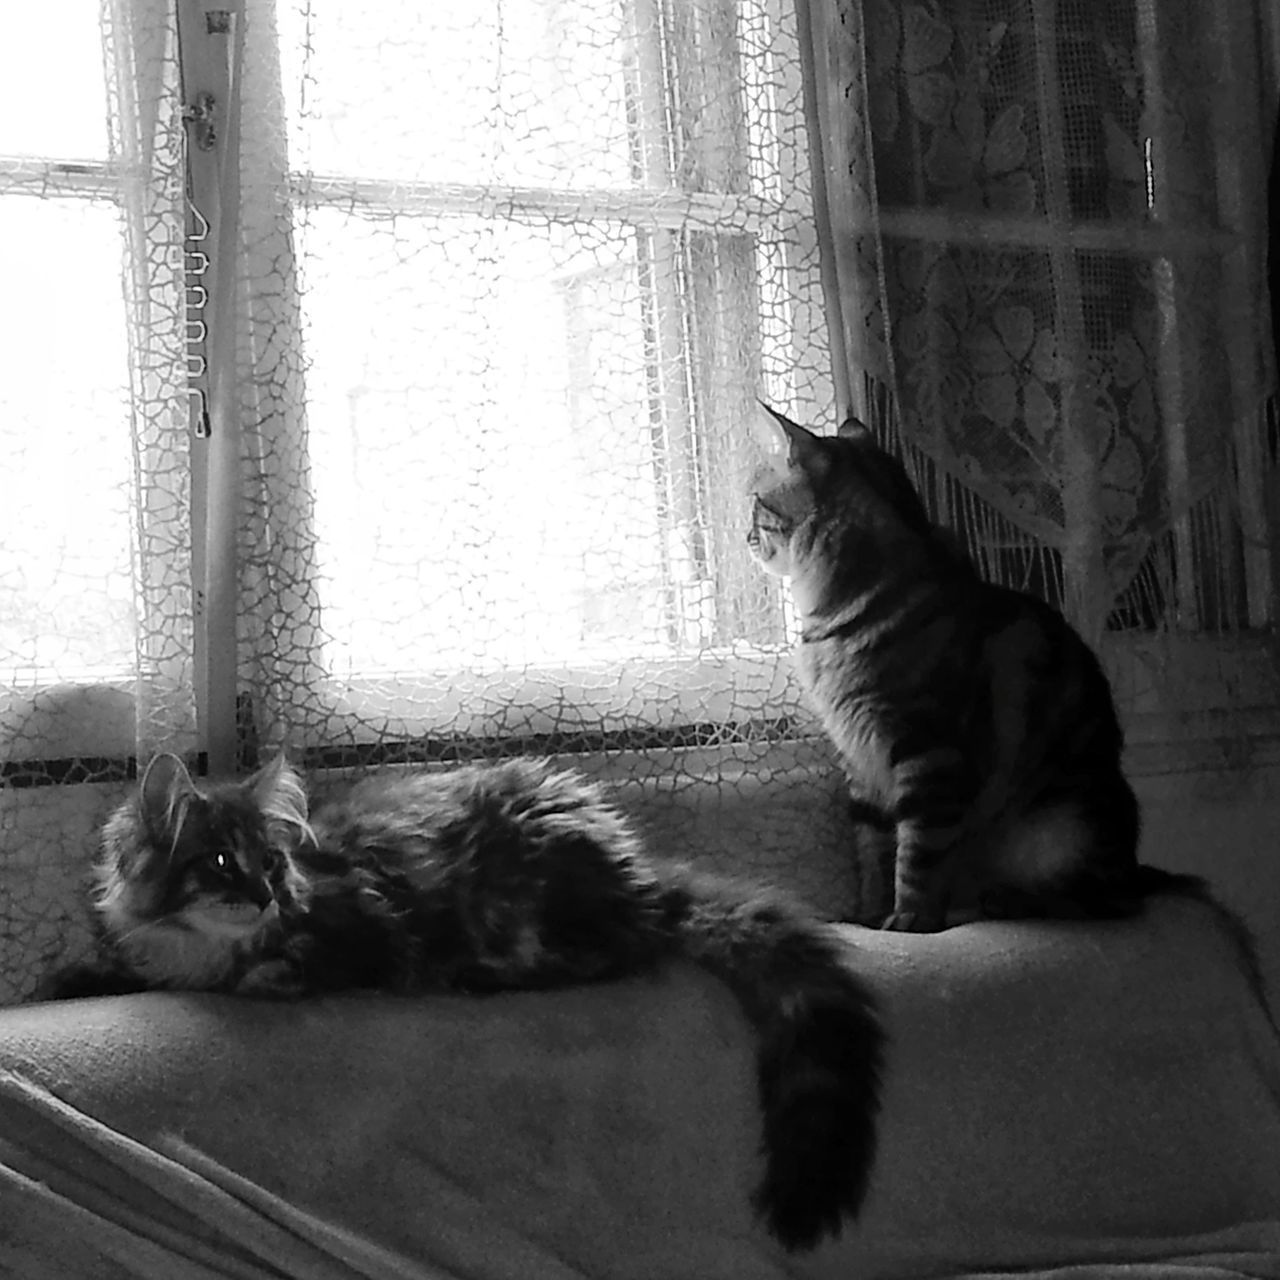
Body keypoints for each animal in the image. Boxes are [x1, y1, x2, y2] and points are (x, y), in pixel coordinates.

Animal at [52, 747, 890, 1249]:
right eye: (223, 862)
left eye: (272, 863)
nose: (265, 898)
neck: (190, 944)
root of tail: (638, 875)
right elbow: (114, 970)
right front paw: (75, 978)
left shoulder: (353, 937)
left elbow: (265, 975)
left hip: (530, 907)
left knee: (612, 957)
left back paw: (482, 976)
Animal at [747, 404, 1203, 936]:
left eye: (756, 502)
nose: (745, 534)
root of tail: (1135, 867)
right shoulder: (860, 764)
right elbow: (873, 853)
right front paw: (867, 917)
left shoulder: (929, 752)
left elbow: (917, 855)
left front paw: (910, 920)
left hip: (1064, 826)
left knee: (1105, 900)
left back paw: (1010, 900)